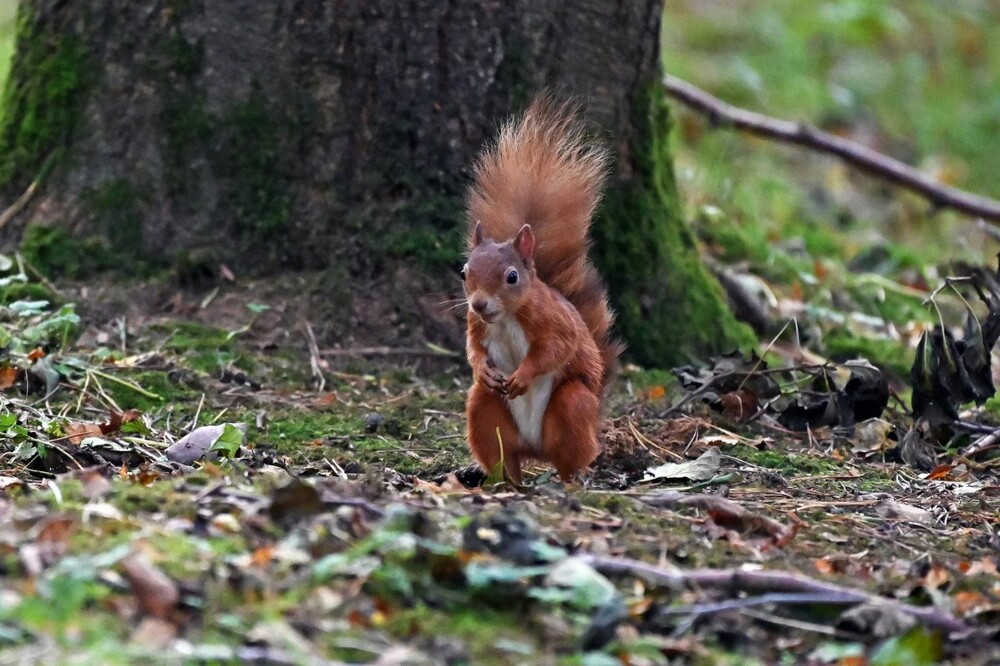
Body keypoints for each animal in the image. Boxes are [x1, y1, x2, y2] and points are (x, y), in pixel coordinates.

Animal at [458, 96, 616, 482]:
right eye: (464, 272)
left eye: (512, 277)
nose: (479, 304)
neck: (506, 318)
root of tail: (535, 450)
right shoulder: (476, 325)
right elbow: (473, 348)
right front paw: (484, 368)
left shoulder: (554, 321)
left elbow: (556, 348)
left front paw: (524, 374)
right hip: (485, 411)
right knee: (502, 455)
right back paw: (503, 483)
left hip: (572, 407)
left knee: (572, 457)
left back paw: (570, 481)